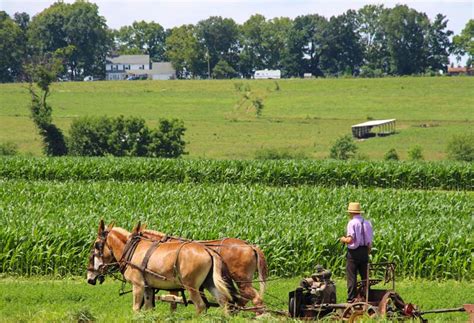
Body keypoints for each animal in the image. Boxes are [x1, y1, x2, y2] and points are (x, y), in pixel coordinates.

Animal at [86, 221, 237, 316]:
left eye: (97, 245)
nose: (89, 278)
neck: (131, 249)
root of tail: (208, 250)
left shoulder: (138, 285)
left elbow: (136, 308)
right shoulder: (148, 287)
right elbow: (148, 308)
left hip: (192, 287)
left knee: (200, 306)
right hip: (209, 283)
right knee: (223, 302)